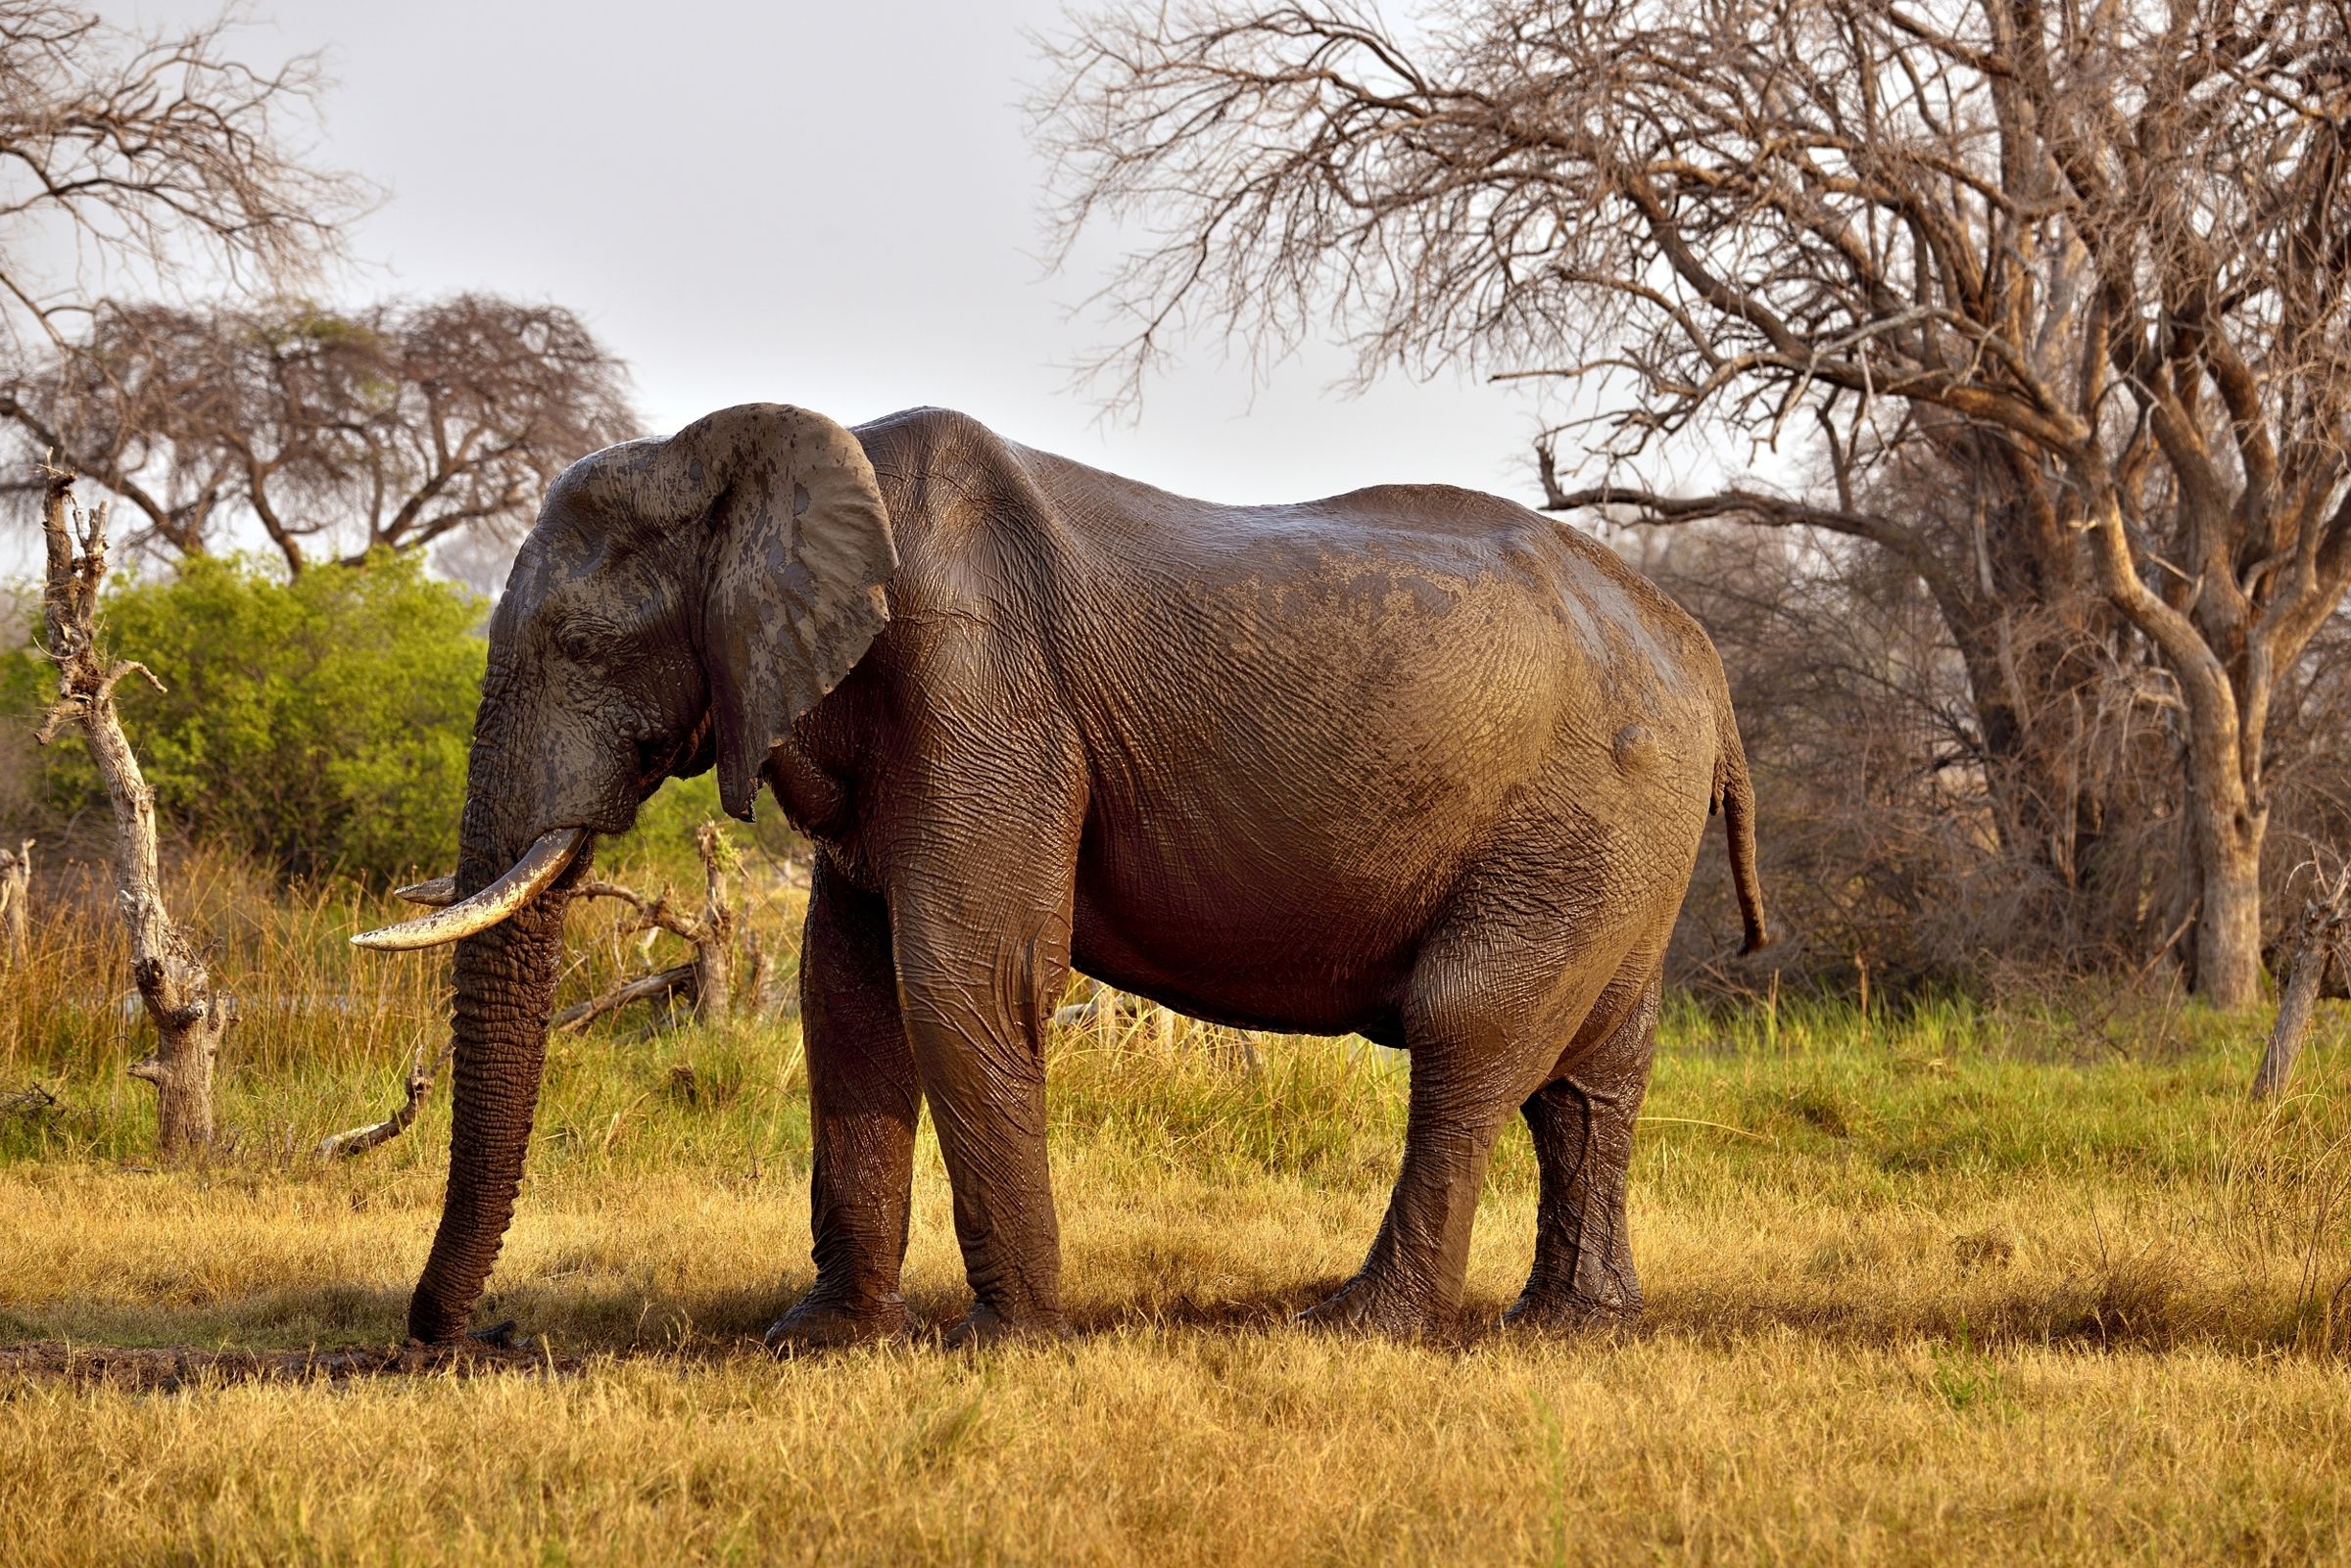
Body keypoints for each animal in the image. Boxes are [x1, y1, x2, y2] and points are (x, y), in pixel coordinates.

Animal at [356, 402, 1768, 1348]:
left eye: (579, 643)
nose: (465, 1336)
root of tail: (1705, 662)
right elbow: (844, 996)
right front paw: (820, 1337)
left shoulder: (980, 680)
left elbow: (962, 973)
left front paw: (1011, 1340)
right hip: (1619, 841)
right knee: (1588, 1081)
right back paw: (1574, 1326)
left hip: (1581, 817)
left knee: (1470, 1033)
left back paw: (1358, 1326)